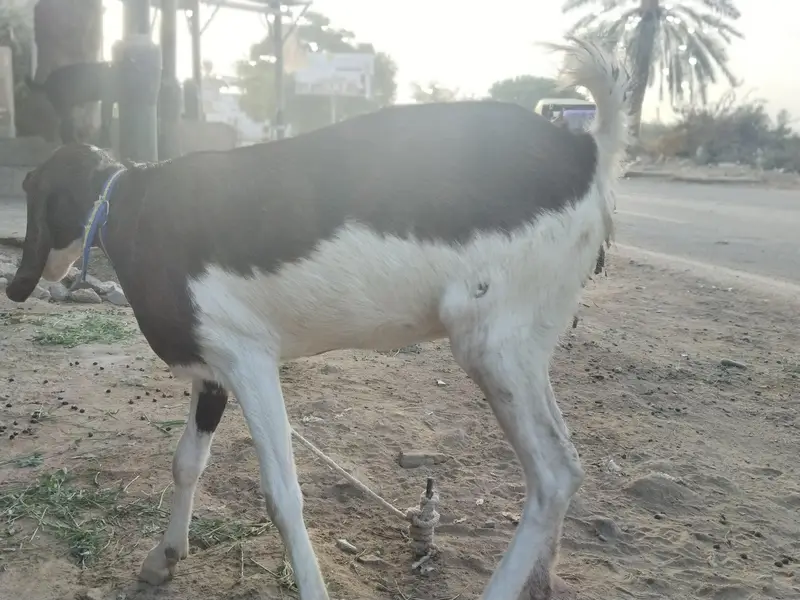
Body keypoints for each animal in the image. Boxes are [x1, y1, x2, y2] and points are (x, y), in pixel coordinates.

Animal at [6, 38, 629, 600]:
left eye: (35, 194)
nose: (17, 285)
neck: (125, 204)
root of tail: (585, 148)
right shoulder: (213, 367)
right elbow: (187, 462)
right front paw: (164, 558)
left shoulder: (250, 361)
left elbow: (282, 496)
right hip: (522, 345)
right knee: (562, 472)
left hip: (494, 344)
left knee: (554, 475)